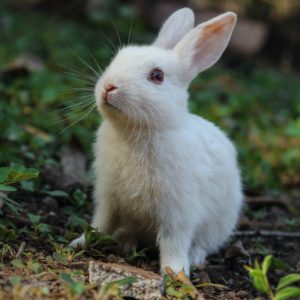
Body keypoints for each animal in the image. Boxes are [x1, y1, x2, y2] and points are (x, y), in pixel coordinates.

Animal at [71, 7, 244, 276]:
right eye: (117, 58)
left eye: (157, 76)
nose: (109, 87)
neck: (139, 131)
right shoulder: (108, 197)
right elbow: (100, 223)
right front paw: (79, 242)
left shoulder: (178, 212)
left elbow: (174, 242)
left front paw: (175, 272)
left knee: (203, 244)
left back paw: (194, 258)